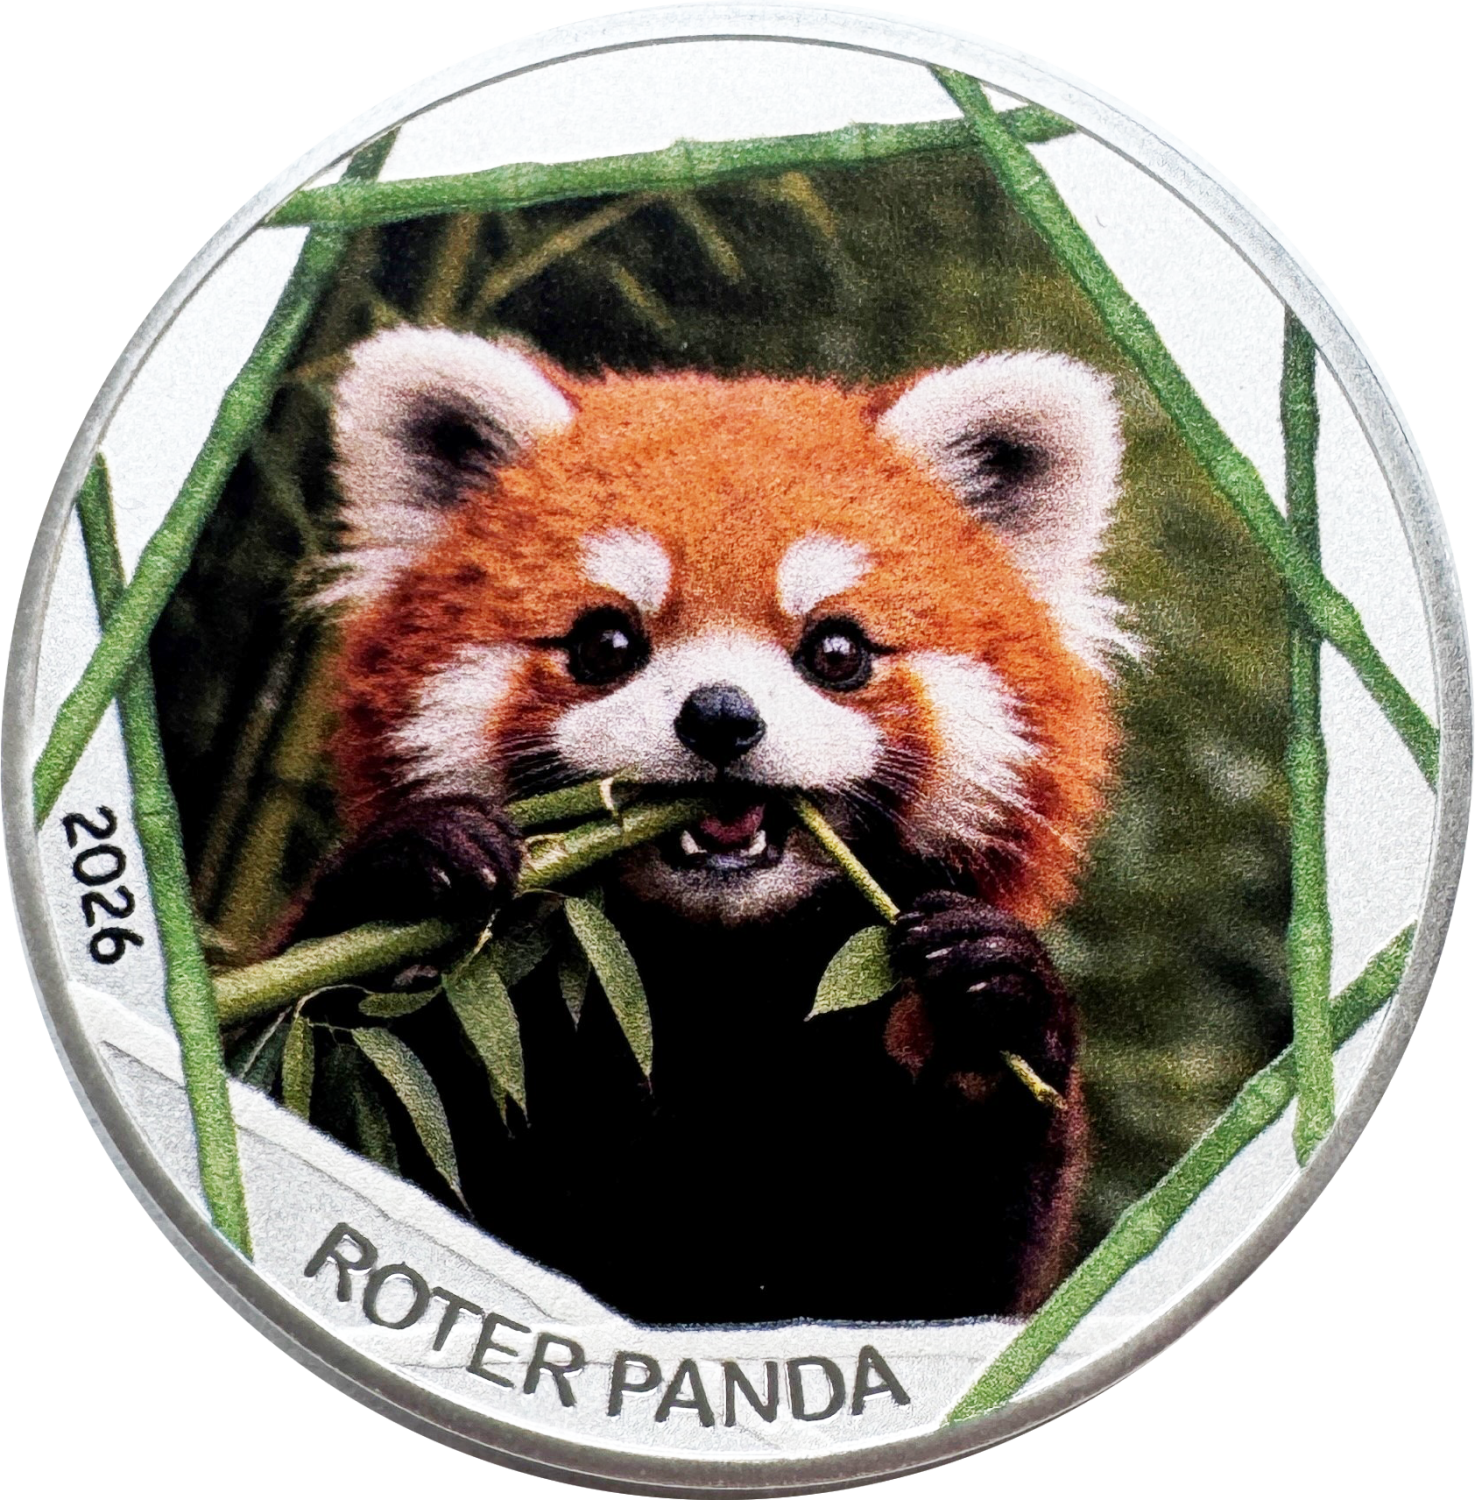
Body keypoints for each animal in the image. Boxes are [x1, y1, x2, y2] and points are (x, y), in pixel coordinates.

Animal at [295, 325, 1124, 1325]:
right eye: (605, 644)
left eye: (836, 651)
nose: (721, 717)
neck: (700, 989)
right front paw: (415, 866)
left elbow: (951, 1270)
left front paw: (994, 996)